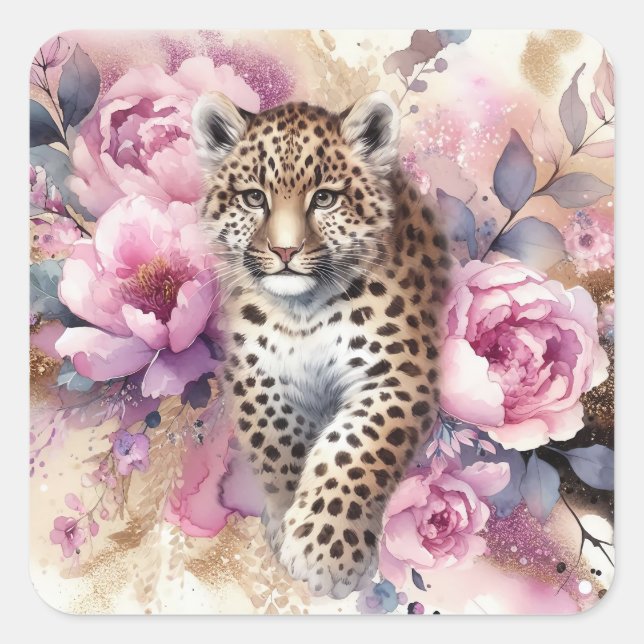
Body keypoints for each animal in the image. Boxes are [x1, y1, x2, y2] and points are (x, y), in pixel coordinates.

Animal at [191, 90, 450, 599]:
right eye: (254, 197)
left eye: (325, 198)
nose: (285, 252)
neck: (302, 313)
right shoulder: (256, 374)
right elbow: (277, 444)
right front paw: (284, 520)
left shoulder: (398, 374)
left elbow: (355, 450)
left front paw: (325, 552)